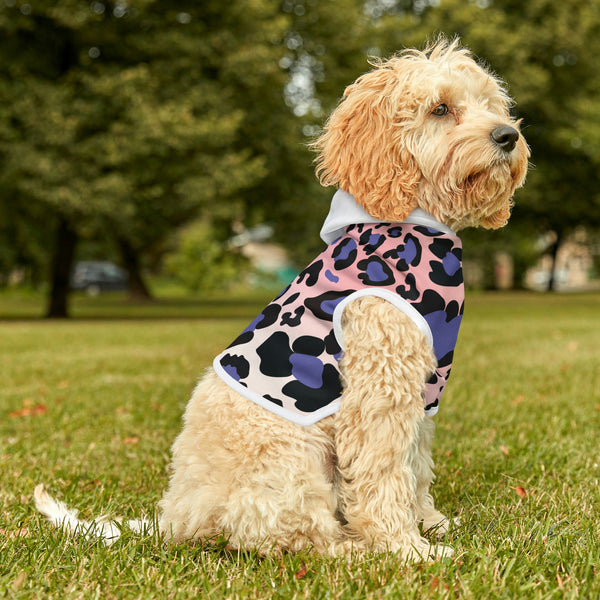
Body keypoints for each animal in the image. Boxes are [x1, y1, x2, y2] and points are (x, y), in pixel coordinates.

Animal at [35, 38, 528, 564]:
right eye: (440, 109)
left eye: (491, 105)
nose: (508, 136)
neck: (410, 223)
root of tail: (177, 518)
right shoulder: (379, 387)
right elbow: (384, 472)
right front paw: (405, 548)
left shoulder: (421, 391)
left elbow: (415, 465)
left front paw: (431, 524)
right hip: (292, 458)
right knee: (291, 537)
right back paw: (354, 550)